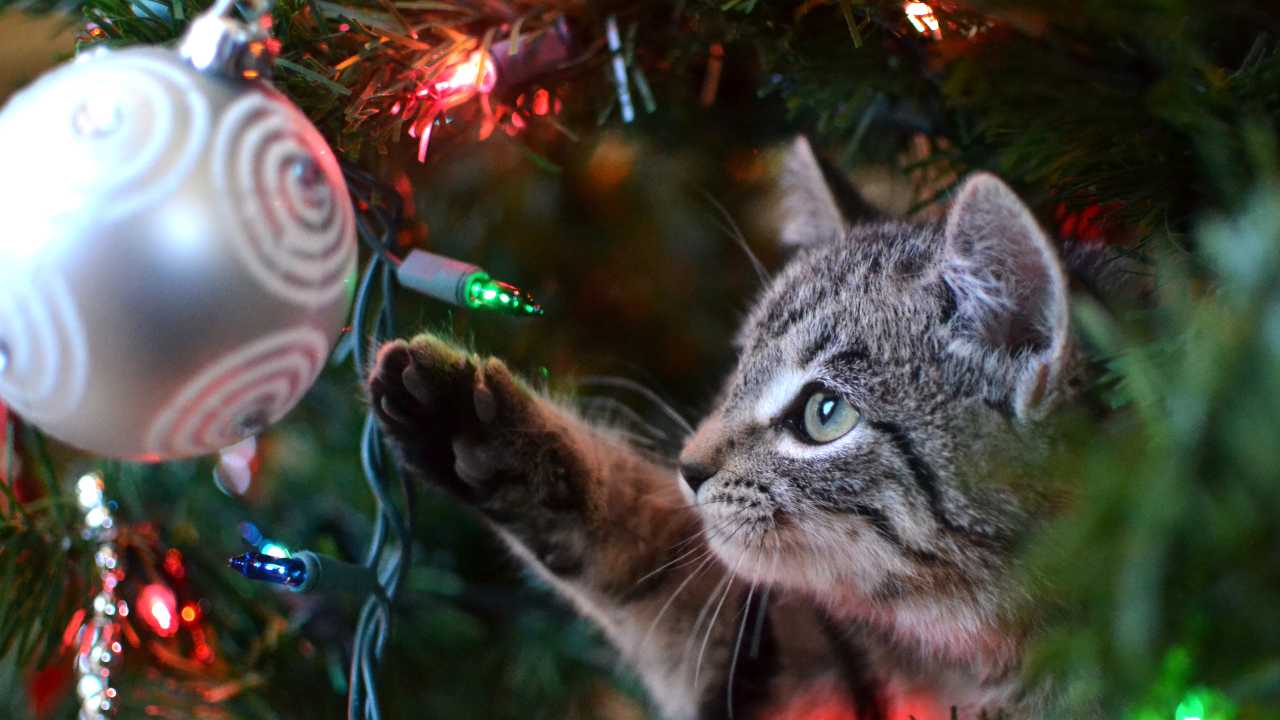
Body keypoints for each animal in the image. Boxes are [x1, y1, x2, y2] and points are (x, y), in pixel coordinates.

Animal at [373, 140, 1090, 717]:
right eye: (742, 363)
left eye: (824, 414)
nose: (689, 467)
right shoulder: (783, 676)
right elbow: (654, 557)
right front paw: (481, 433)